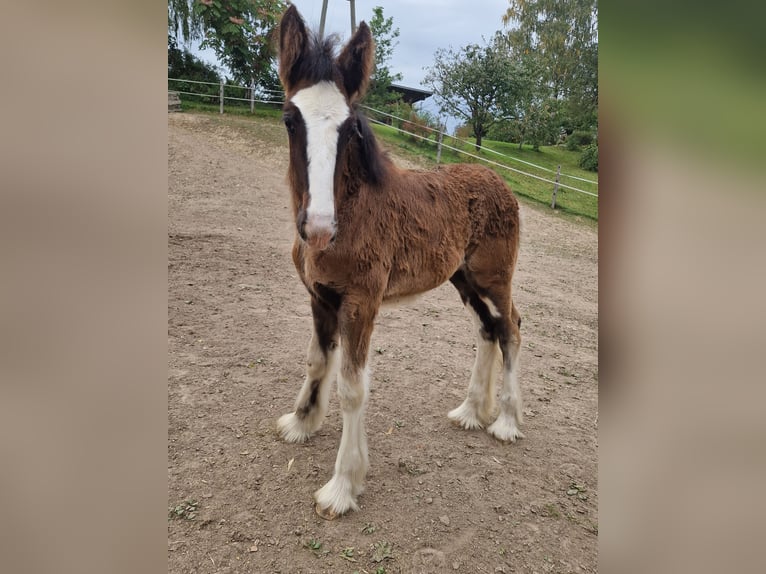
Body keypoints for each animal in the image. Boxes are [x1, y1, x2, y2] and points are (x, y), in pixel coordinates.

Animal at [275, 5, 524, 519]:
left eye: (349, 127)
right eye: (290, 119)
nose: (319, 227)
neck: (351, 212)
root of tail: (499, 180)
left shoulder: (361, 303)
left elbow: (353, 387)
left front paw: (343, 486)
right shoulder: (320, 299)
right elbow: (316, 360)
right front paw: (301, 422)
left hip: (494, 278)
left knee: (510, 327)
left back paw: (506, 422)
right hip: (463, 280)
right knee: (487, 330)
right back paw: (470, 412)